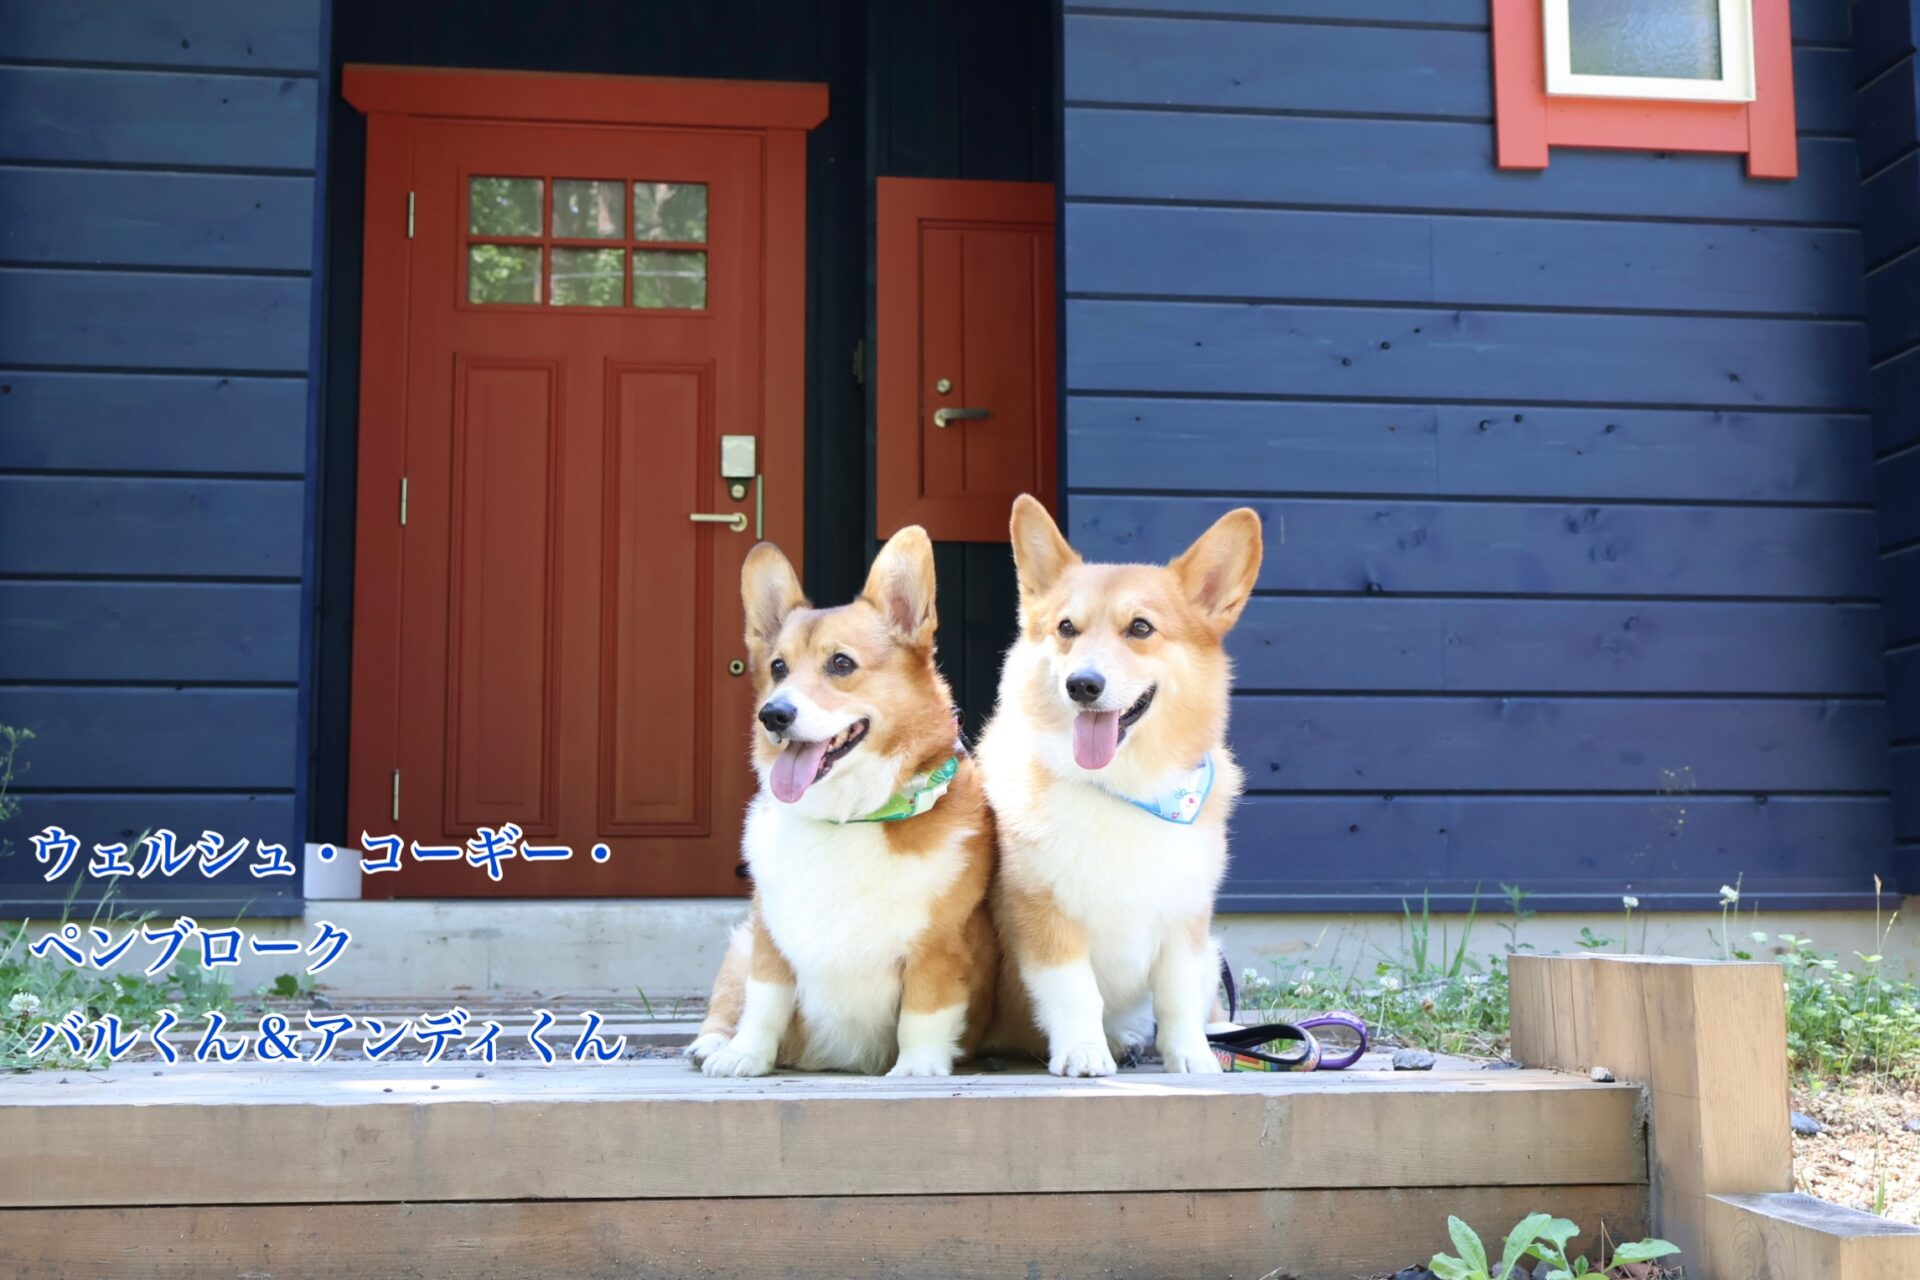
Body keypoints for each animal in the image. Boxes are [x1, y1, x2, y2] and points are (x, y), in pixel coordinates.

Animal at [683, 525, 998, 1074]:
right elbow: (764, 1002)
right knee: (728, 1001)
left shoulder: (939, 948)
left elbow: (924, 1014)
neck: (849, 818)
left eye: (841, 663)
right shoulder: (769, 940)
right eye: (778, 667)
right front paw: (745, 1056)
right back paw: (714, 1044)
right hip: (740, 944)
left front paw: (917, 1068)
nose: (773, 714)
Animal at [983, 495, 1267, 1074]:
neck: (1125, 788)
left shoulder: (1186, 922)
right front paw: (1084, 1053)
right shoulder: (1046, 920)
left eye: (1140, 628)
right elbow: (1076, 993)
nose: (1083, 685)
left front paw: (1192, 1056)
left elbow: (1178, 996)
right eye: (1066, 628)